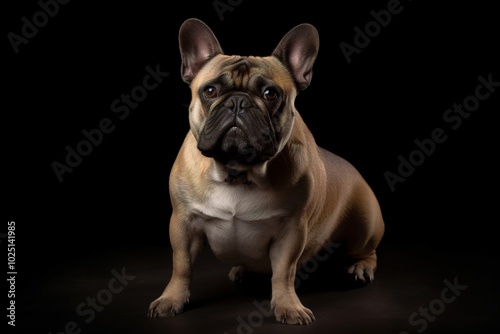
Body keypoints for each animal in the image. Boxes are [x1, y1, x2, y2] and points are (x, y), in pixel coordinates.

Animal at [146, 17, 384, 324]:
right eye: (209, 91)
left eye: (270, 94)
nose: (238, 101)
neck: (237, 171)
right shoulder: (182, 222)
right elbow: (181, 266)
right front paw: (171, 299)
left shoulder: (292, 231)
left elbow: (284, 273)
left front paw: (288, 306)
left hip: (365, 224)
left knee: (367, 251)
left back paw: (359, 269)